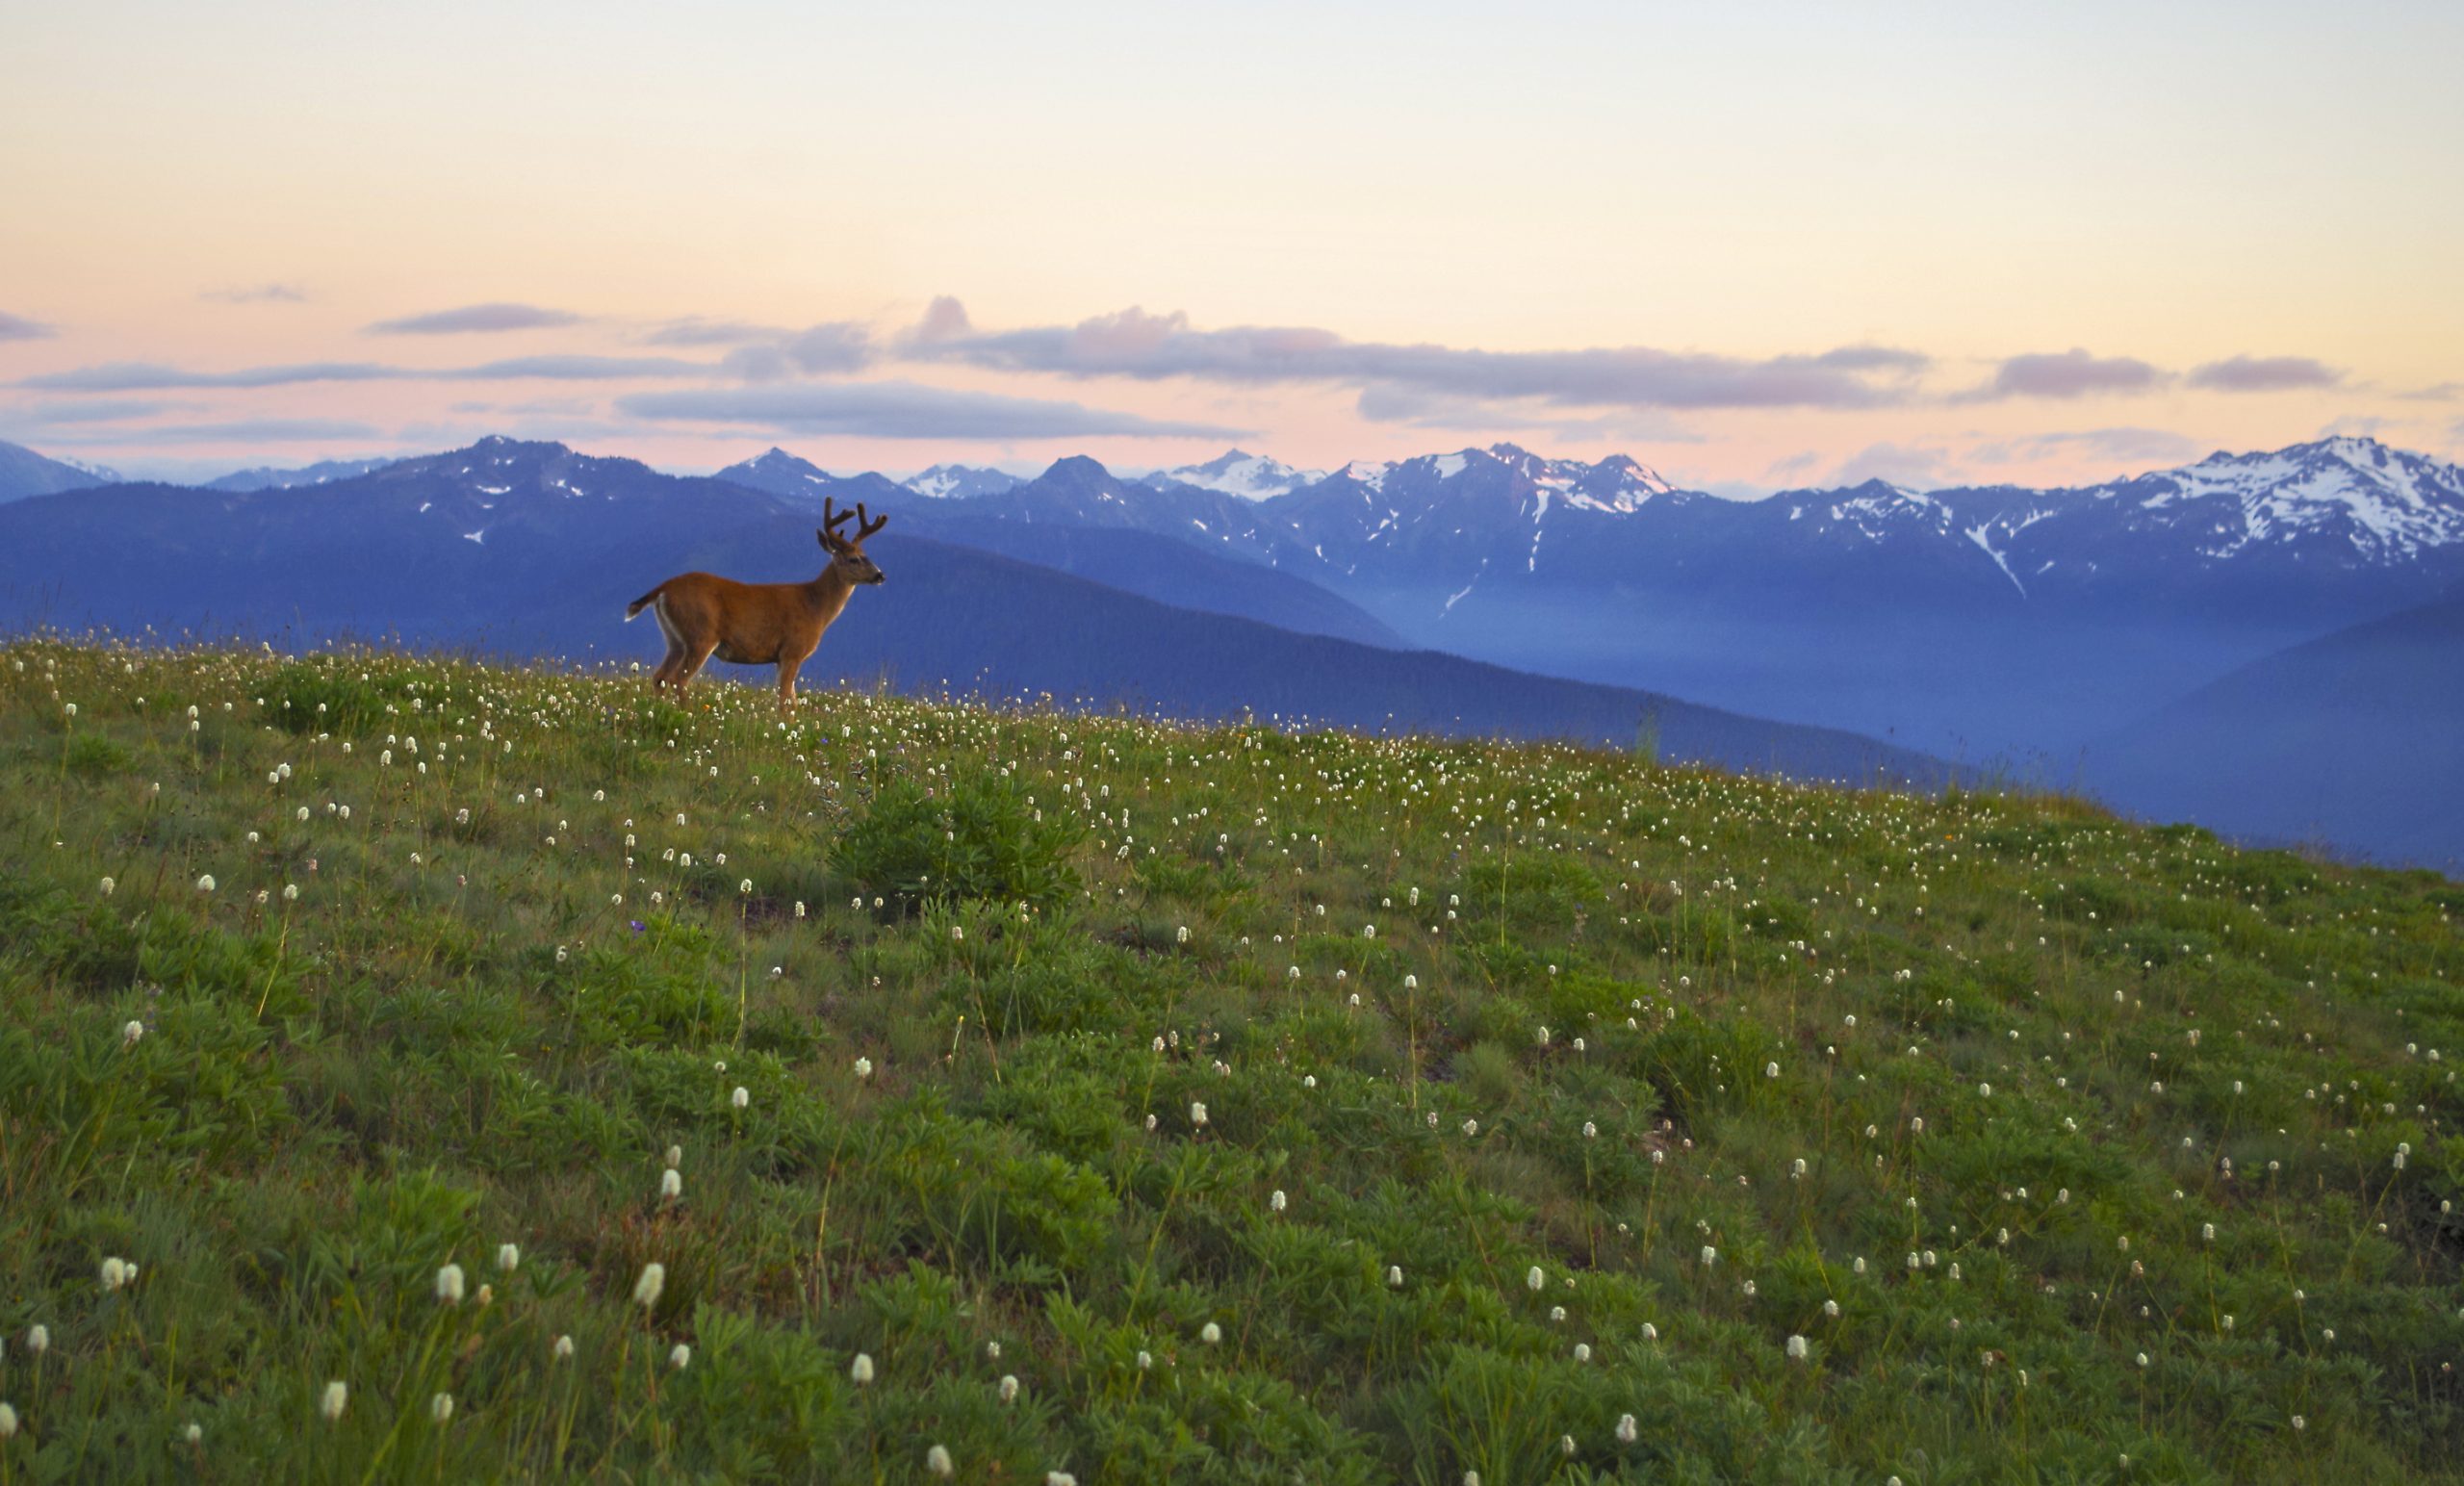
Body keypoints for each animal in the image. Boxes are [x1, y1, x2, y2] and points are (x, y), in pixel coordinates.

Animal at [621, 498, 891, 714]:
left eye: (867, 554)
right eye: (853, 559)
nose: (880, 575)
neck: (815, 606)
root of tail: (663, 588)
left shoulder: (780, 658)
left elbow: (791, 699)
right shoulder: (792, 650)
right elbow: (785, 698)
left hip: (675, 639)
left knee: (659, 677)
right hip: (700, 634)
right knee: (678, 680)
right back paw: (688, 715)